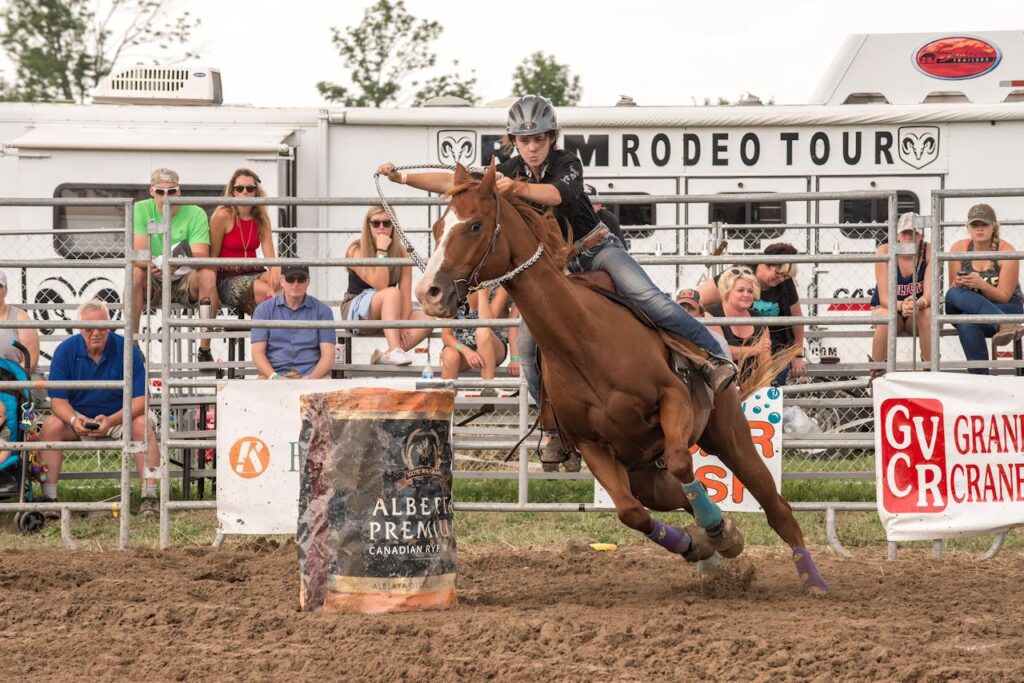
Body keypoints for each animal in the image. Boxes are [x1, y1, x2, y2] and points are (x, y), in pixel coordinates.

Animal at [415, 163, 828, 593]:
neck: (584, 338)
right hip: (645, 473)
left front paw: (716, 530)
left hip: (728, 434)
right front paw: (699, 542)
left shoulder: (673, 400)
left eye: (475, 225)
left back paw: (810, 578)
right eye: (439, 226)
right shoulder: (591, 444)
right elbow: (631, 512)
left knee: (774, 505)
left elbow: (682, 462)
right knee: (675, 496)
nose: (429, 292)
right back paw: (714, 549)